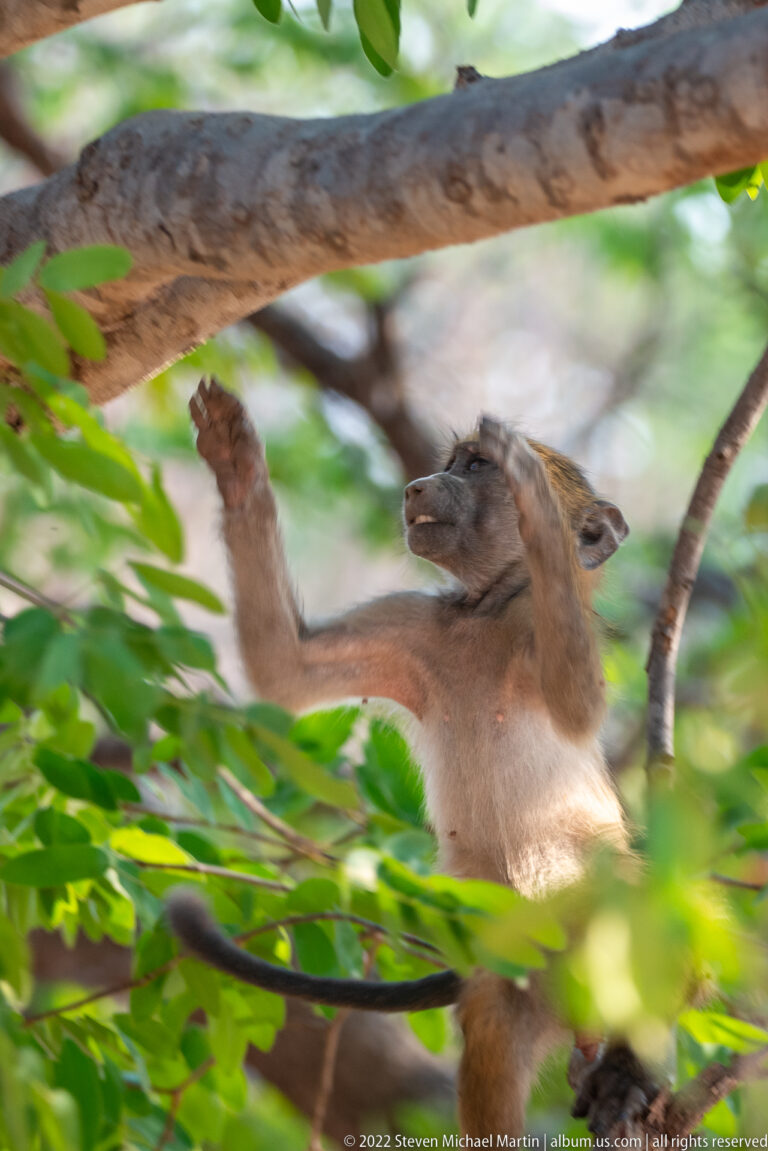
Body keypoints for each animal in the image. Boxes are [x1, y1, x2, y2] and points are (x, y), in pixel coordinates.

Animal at [169, 376, 649, 1138]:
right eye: (450, 463)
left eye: (474, 466)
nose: (419, 485)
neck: (489, 610)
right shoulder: (419, 625)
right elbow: (283, 670)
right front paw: (235, 462)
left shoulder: (533, 625)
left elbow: (576, 705)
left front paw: (536, 502)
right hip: (516, 975)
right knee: (492, 1040)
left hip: (600, 918)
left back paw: (630, 1072)